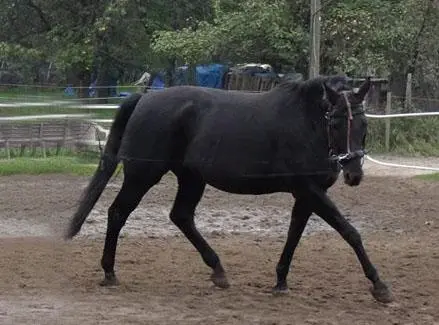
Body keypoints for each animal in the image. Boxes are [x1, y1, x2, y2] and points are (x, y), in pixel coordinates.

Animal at [65, 74, 396, 302]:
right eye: (336, 122)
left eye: (364, 124)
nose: (353, 174)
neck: (308, 124)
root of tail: (144, 100)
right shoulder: (310, 191)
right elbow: (349, 232)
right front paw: (379, 286)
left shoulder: (306, 195)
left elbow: (294, 236)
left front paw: (280, 281)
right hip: (143, 175)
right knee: (118, 213)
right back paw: (109, 272)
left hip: (191, 178)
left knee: (181, 216)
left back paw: (218, 271)